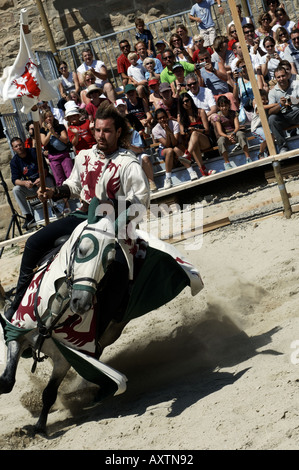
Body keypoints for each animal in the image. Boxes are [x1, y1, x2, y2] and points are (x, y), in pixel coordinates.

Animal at [0, 196, 204, 436]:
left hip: (111, 332)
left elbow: (49, 393)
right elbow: (6, 382)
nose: (81, 303)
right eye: (81, 250)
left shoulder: (64, 359)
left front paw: (40, 428)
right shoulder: (18, 335)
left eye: (109, 261)